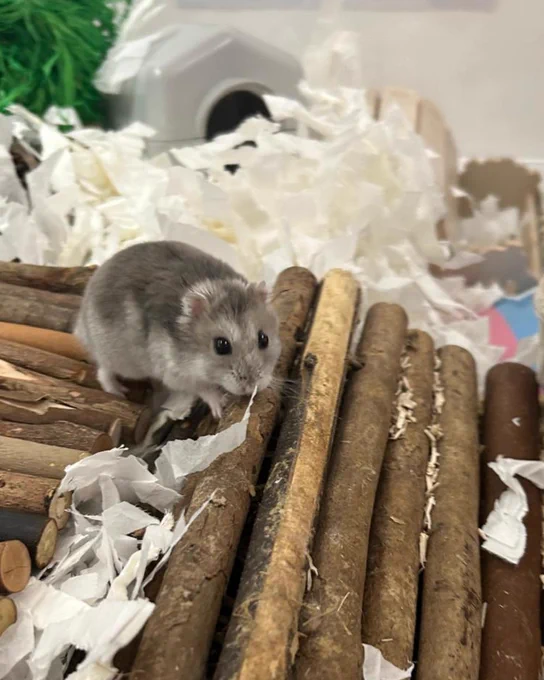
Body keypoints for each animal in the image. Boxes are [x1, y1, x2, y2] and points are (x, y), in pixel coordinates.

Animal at [74, 241, 281, 420]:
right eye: (221, 345)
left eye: (264, 339)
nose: (251, 386)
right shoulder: (177, 374)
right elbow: (203, 389)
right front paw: (219, 407)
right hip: (118, 359)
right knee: (103, 371)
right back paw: (118, 392)